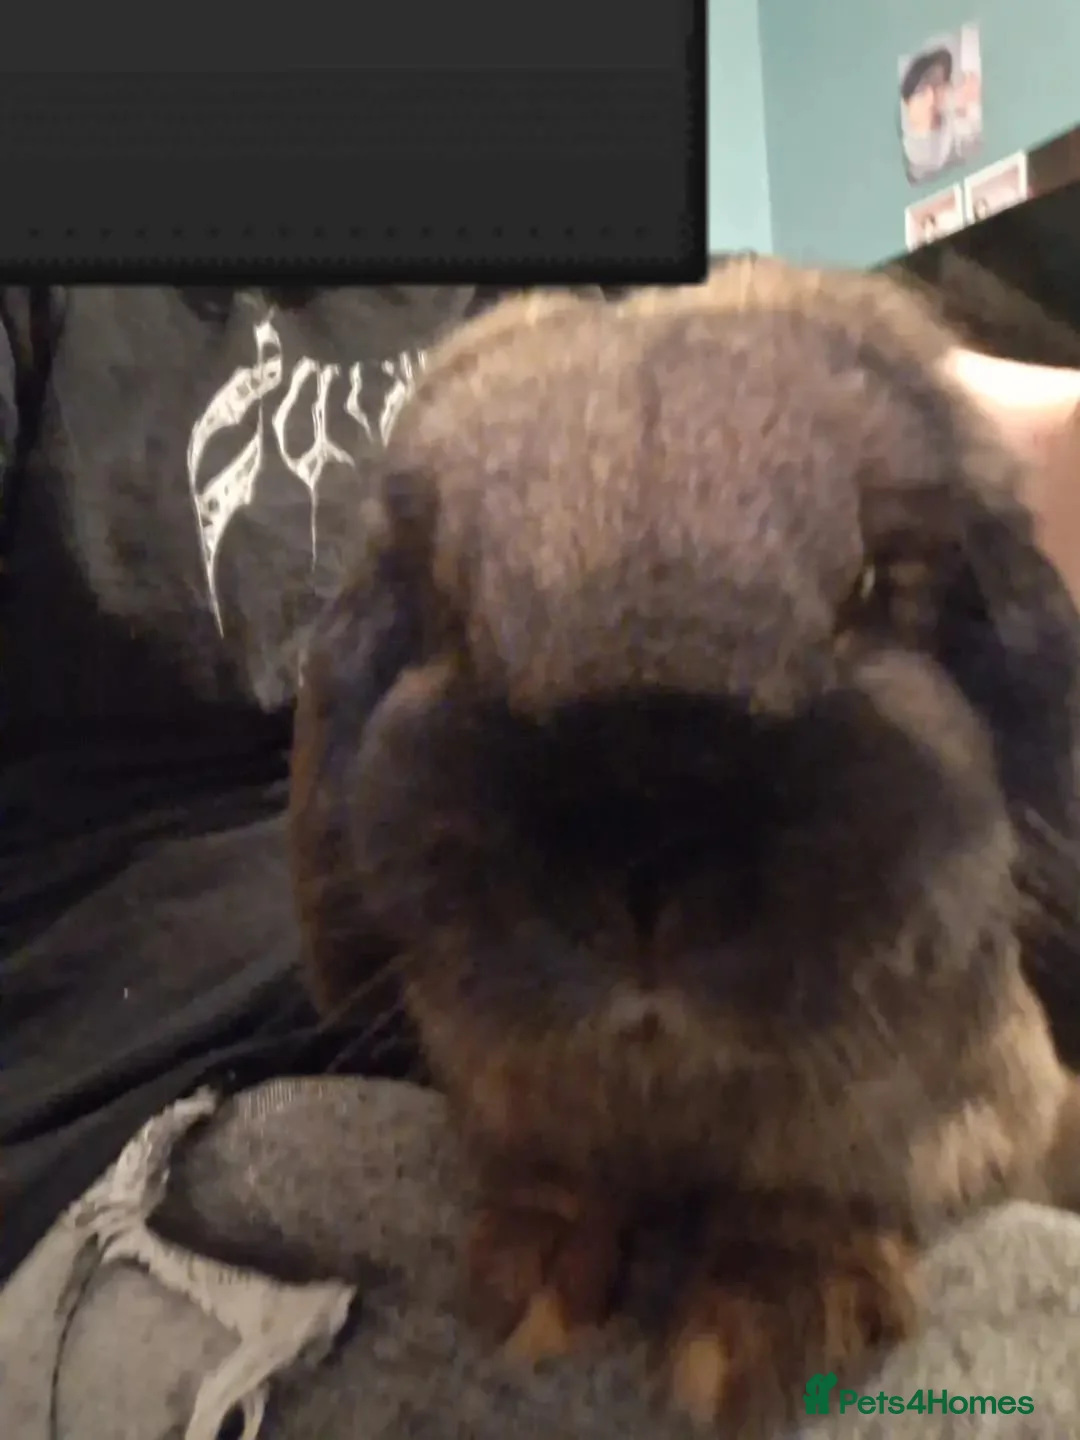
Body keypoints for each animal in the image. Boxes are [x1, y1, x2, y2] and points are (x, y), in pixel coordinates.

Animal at [288, 259, 1080, 1433]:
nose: (645, 884)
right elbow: (548, 1165)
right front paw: (528, 1277)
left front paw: (768, 1322)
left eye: (868, 592)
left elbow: (831, 1183)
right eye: (448, 619)